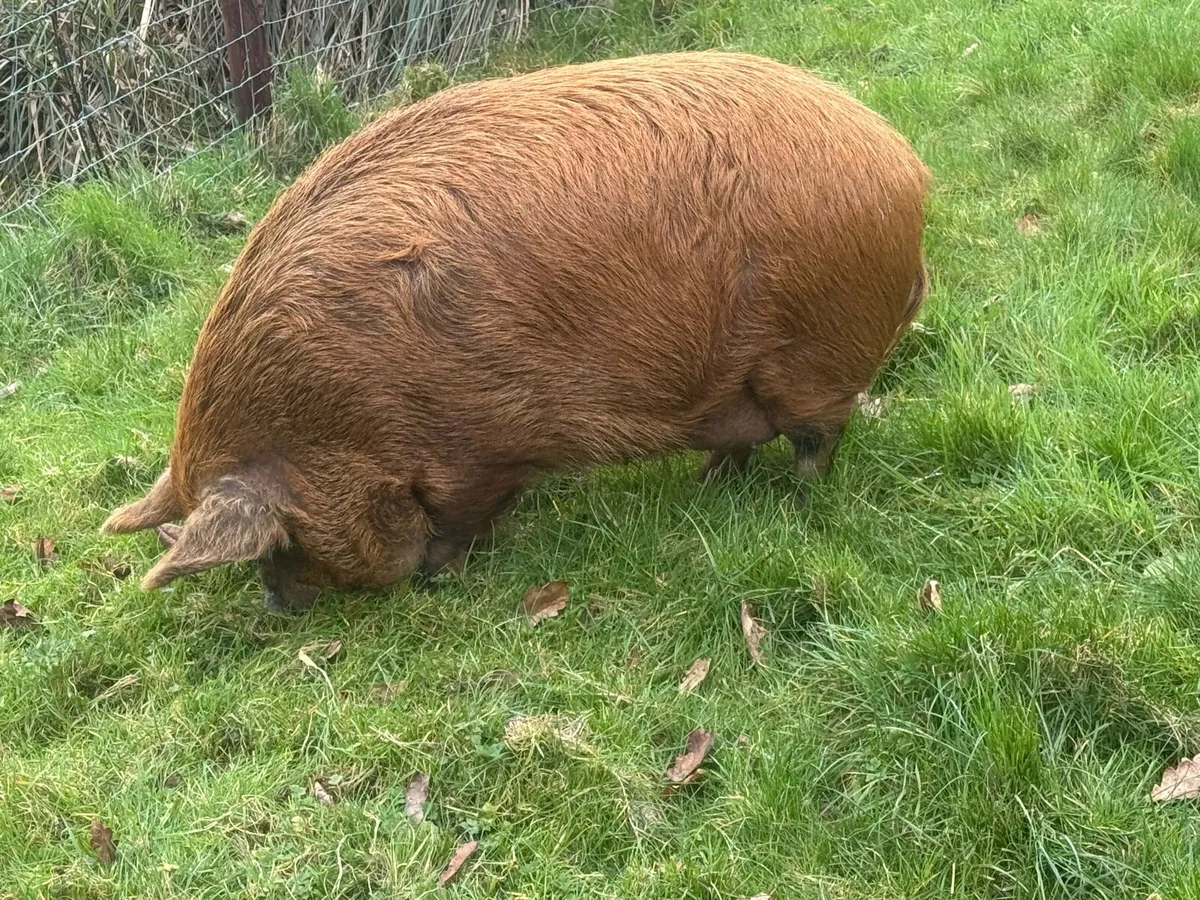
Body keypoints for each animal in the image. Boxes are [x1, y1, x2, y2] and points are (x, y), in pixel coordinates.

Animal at [101, 50, 930, 611]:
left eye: (284, 540)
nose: (275, 605)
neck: (347, 416)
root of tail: (906, 165)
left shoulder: (487, 436)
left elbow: (467, 514)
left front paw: (439, 571)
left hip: (814, 353)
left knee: (819, 437)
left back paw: (793, 507)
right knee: (743, 437)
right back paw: (704, 485)